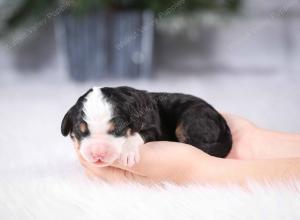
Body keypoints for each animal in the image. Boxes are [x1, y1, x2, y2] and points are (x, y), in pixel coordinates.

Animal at [59, 86, 231, 167]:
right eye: (80, 131)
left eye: (118, 129)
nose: (98, 153)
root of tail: (222, 120)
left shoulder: (153, 128)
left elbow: (136, 135)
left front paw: (127, 153)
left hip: (193, 119)